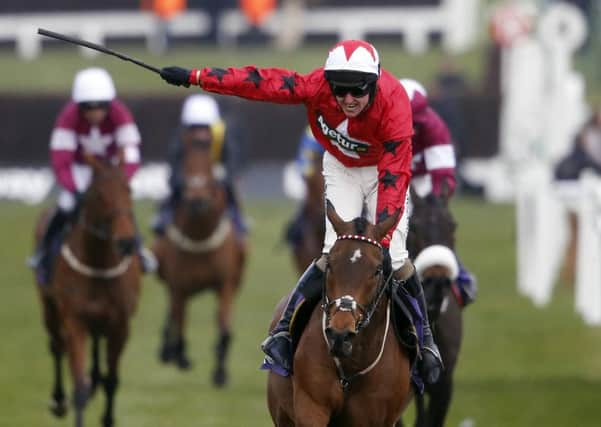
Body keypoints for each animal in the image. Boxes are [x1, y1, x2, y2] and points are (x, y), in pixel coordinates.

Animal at [34, 154, 142, 427]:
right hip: (49, 308)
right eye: (99, 195)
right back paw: (59, 400)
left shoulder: (120, 324)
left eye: (129, 189)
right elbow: (79, 387)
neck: (99, 264)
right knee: (56, 346)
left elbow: (112, 381)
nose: (126, 242)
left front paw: (107, 416)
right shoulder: (75, 320)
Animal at [152, 135, 246, 386]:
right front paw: (180, 356)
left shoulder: (225, 284)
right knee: (172, 314)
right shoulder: (179, 287)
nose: (196, 201)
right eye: (186, 166)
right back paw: (167, 350)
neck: (200, 237)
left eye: (210, 169)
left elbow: (224, 325)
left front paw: (220, 372)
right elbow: (180, 323)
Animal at [268, 201, 412, 427]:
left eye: (377, 270)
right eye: (329, 265)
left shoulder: (374, 416)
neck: (352, 363)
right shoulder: (311, 405)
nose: (340, 335)